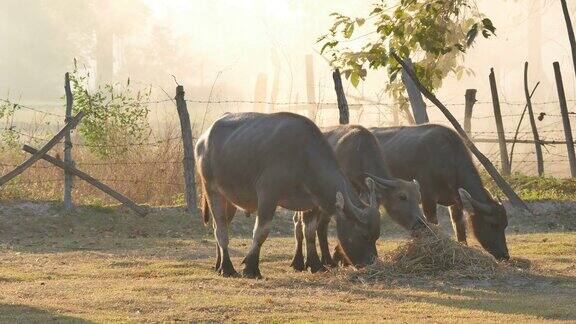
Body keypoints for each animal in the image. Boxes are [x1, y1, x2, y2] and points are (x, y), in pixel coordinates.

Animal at [196, 112, 380, 278]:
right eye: (363, 235)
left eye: (376, 236)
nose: (371, 262)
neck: (304, 158)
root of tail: (203, 139)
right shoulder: (268, 195)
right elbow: (261, 232)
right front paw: (251, 268)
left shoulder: (312, 203)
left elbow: (309, 231)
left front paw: (315, 264)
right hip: (212, 189)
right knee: (221, 229)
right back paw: (227, 268)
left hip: (229, 199)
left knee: (219, 226)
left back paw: (218, 265)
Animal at [290, 125, 426, 272]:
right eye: (402, 197)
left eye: (419, 198)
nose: (421, 224)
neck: (358, 153)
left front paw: (341, 256)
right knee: (299, 223)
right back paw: (298, 261)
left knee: (321, 226)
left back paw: (328, 260)